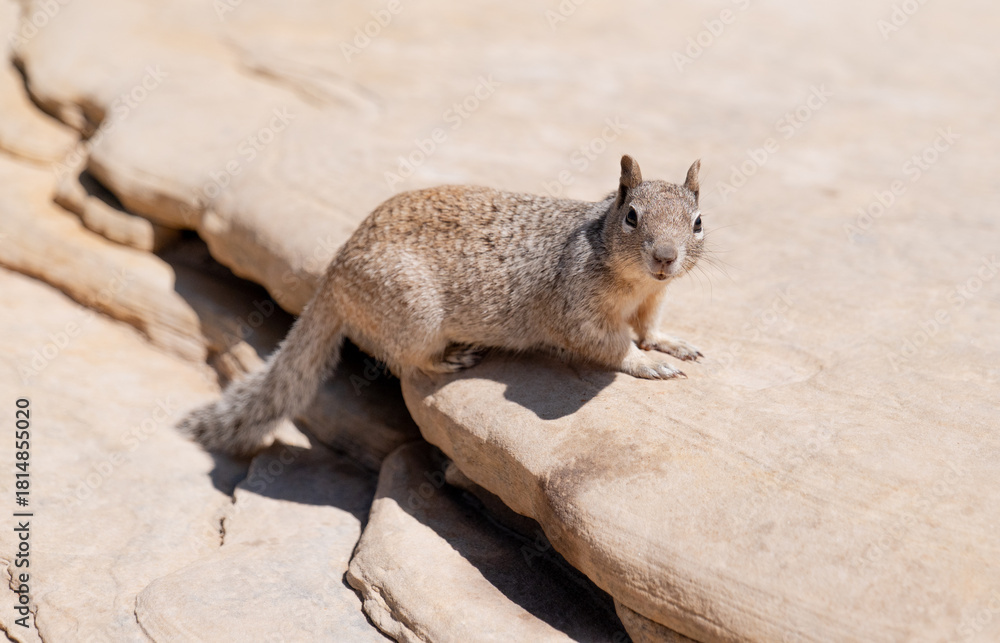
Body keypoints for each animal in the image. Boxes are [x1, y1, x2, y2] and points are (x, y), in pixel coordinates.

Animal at [180, 155, 706, 455]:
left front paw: (671, 344)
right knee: (408, 363)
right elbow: (611, 346)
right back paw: (449, 359)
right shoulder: (577, 312)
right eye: (631, 217)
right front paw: (646, 364)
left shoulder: (654, 299)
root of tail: (333, 273)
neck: (636, 282)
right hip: (415, 316)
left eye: (698, 222)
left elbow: (650, 328)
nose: (665, 257)